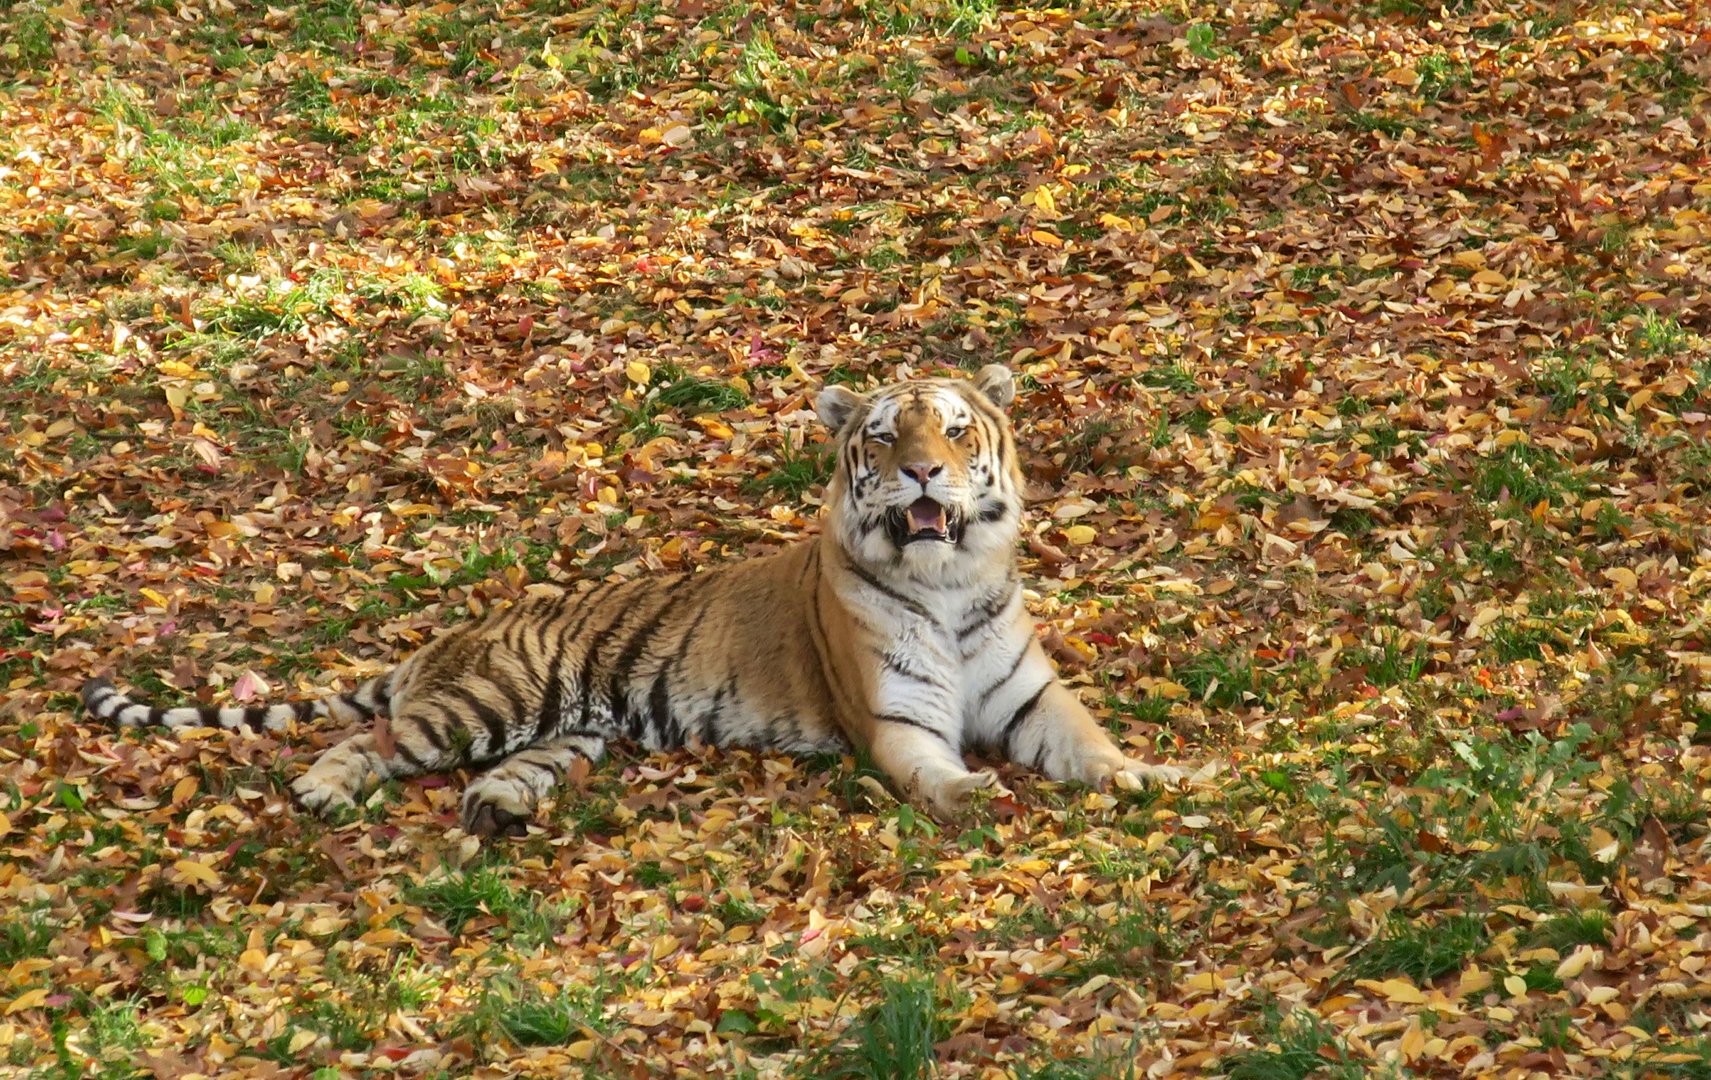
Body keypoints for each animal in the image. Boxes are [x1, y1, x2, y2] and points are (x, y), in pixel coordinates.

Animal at [81, 365, 1182, 838]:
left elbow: (1091, 744)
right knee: (376, 737)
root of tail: (450, 635)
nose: (920, 473)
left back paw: (494, 808)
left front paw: (1152, 775)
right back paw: (322, 790)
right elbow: (933, 772)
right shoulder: (894, 718)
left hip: (575, 729)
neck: (947, 585)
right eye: (880, 436)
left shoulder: (1030, 697)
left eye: (955, 429)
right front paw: (971, 793)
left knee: (502, 766)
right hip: (490, 700)